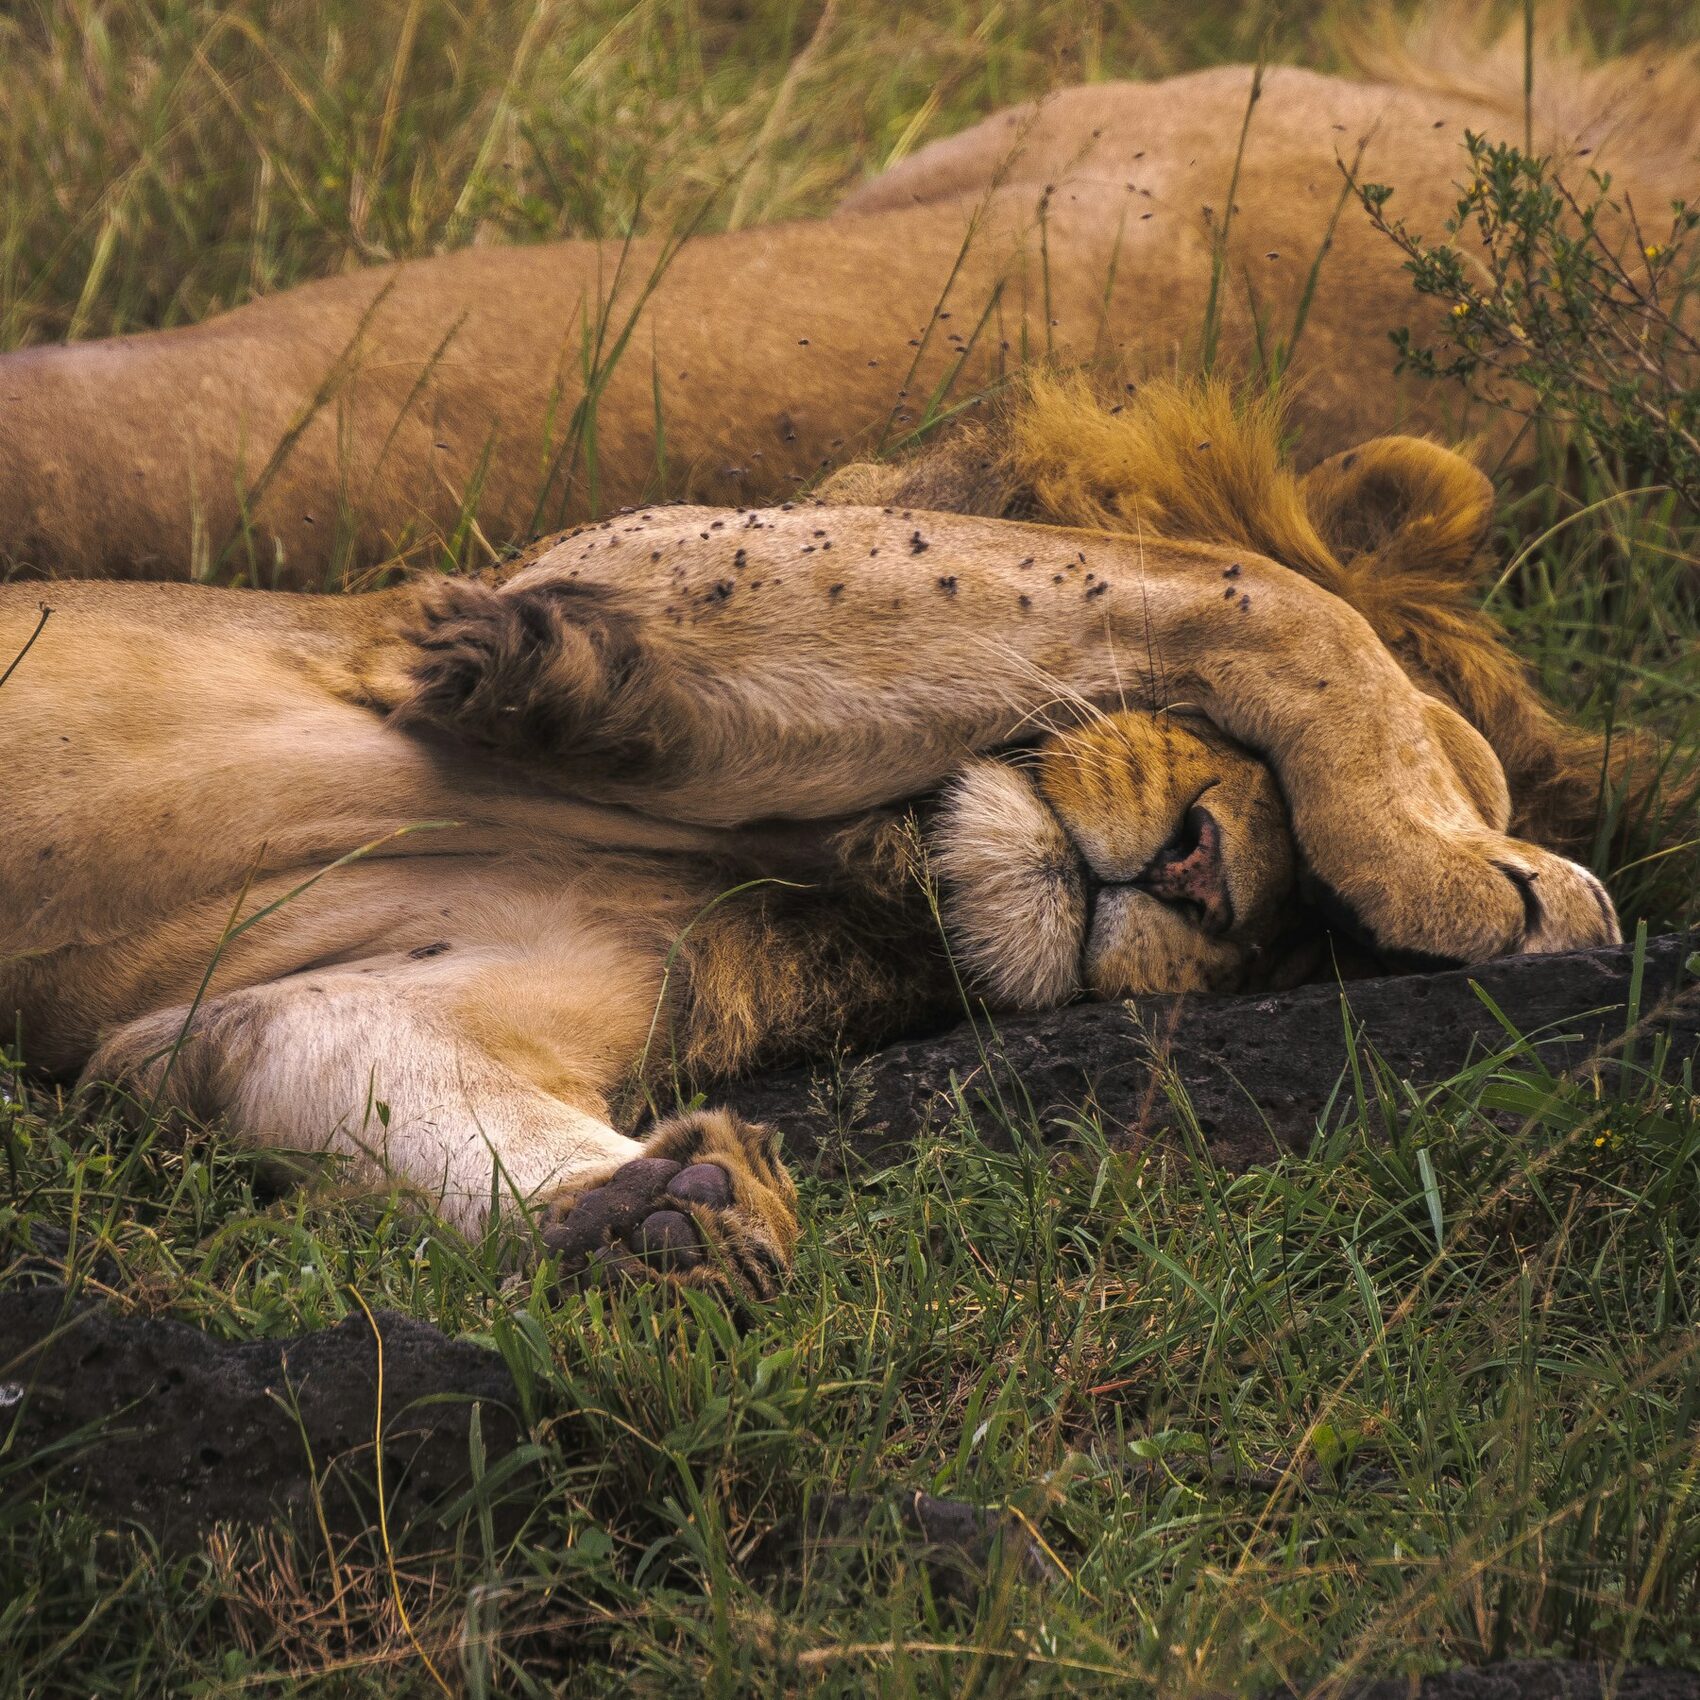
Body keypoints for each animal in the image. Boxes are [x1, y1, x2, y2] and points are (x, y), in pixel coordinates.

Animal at [1, 381, 1633, 1297]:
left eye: (1308, 944)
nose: (1202, 872)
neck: (853, 866)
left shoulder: (306, 997)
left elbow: (334, 1053)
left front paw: (657, 1215)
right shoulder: (609, 573)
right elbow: (1246, 588)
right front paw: (1476, 856)